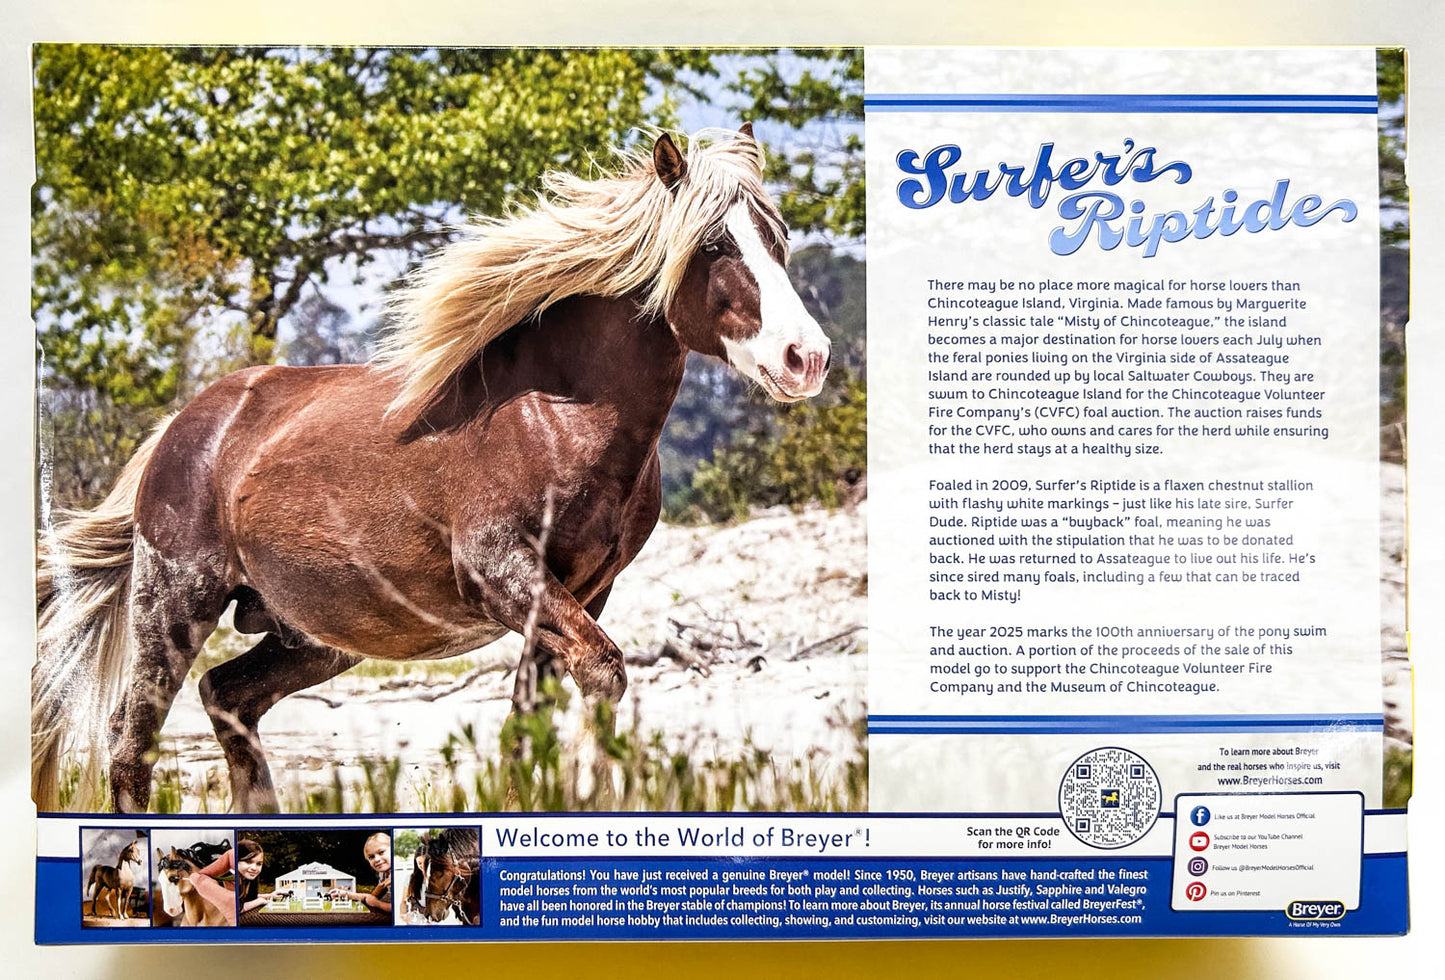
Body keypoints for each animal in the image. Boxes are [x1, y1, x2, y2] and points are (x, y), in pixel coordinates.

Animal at [32, 125, 831, 814]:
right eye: (714, 243)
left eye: (779, 238)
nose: (806, 357)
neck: (558, 416)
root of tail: (185, 425)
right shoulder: (504, 574)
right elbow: (603, 673)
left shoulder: (583, 593)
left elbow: (529, 723)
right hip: (175, 603)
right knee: (131, 740)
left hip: (314, 635)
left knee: (227, 697)